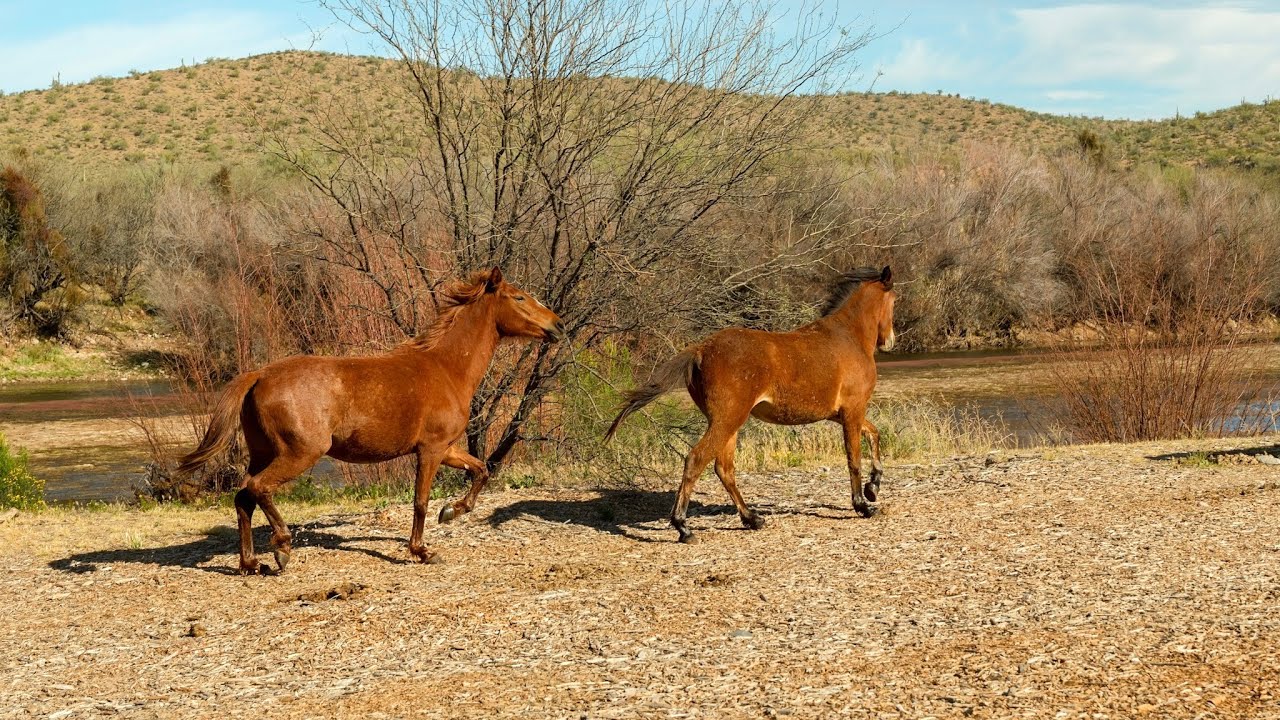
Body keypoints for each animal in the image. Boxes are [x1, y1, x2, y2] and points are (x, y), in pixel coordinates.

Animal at [177, 267, 564, 574]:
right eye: (519, 296)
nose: (557, 325)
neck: (445, 367)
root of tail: (258, 374)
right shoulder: (431, 449)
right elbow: (420, 501)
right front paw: (422, 550)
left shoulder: (448, 448)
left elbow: (481, 470)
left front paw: (452, 511)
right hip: (298, 454)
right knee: (258, 488)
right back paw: (282, 548)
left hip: (263, 453)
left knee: (243, 497)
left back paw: (250, 563)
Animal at [605, 266, 895, 543]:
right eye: (894, 300)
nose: (890, 341)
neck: (848, 337)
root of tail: (700, 350)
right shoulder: (852, 410)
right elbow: (853, 458)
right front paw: (864, 505)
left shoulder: (839, 413)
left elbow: (874, 434)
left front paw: (873, 488)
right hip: (727, 420)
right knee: (696, 460)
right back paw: (684, 528)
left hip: (728, 423)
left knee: (724, 468)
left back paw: (751, 518)